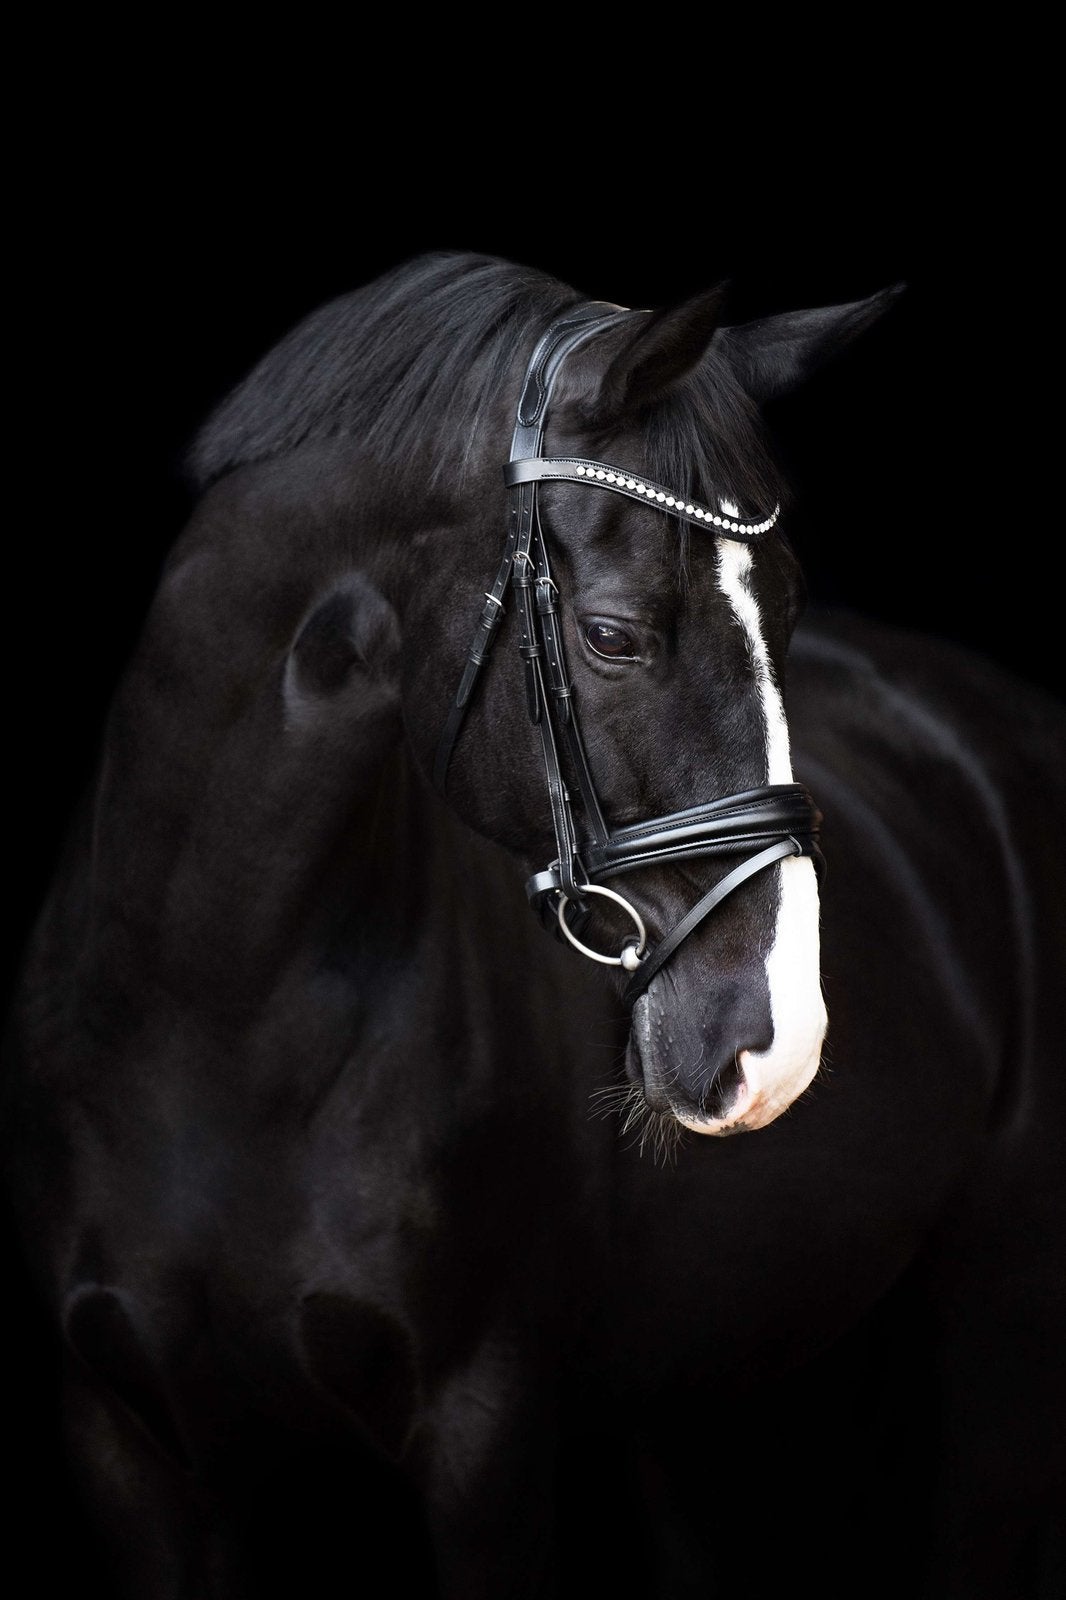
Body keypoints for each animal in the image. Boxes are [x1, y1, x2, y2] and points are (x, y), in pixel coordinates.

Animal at [3, 251, 1064, 1600]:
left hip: (1001, 1324)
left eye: (785, 617)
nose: (776, 1046)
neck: (208, 1020)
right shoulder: (130, 1450)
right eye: (611, 635)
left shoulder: (485, 1439)